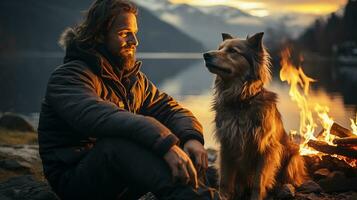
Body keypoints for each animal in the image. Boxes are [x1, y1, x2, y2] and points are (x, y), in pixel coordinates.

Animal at [203, 32, 306, 199]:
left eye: (233, 51)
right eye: (220, 48)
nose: (206, 55)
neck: (241, 101)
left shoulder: (266, 149)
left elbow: (259, 181)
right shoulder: (227, 145)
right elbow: (225, 180)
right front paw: (222, 195)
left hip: (293, 157)